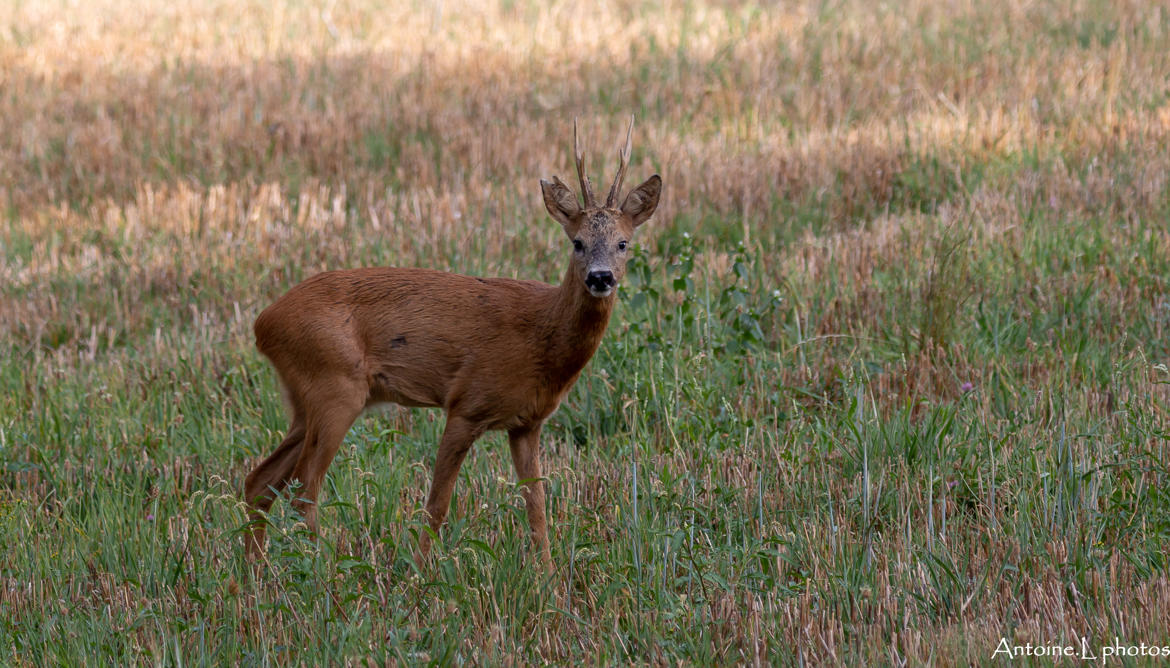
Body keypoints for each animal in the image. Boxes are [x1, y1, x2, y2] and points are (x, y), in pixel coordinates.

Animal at [242, 117, 664, 566]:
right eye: (577, 242)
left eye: (623, 243)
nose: (601, 277)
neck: (542, 336)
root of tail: (263, 323)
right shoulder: (466, 403)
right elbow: (437, 504)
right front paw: (420, 571)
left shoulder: (527, 423)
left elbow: (537, 509)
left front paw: (548, 575)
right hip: (335, 386)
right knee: (304, 488)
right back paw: (326, 568)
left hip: (306, 399)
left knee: (260, 480)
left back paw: (256, 571)